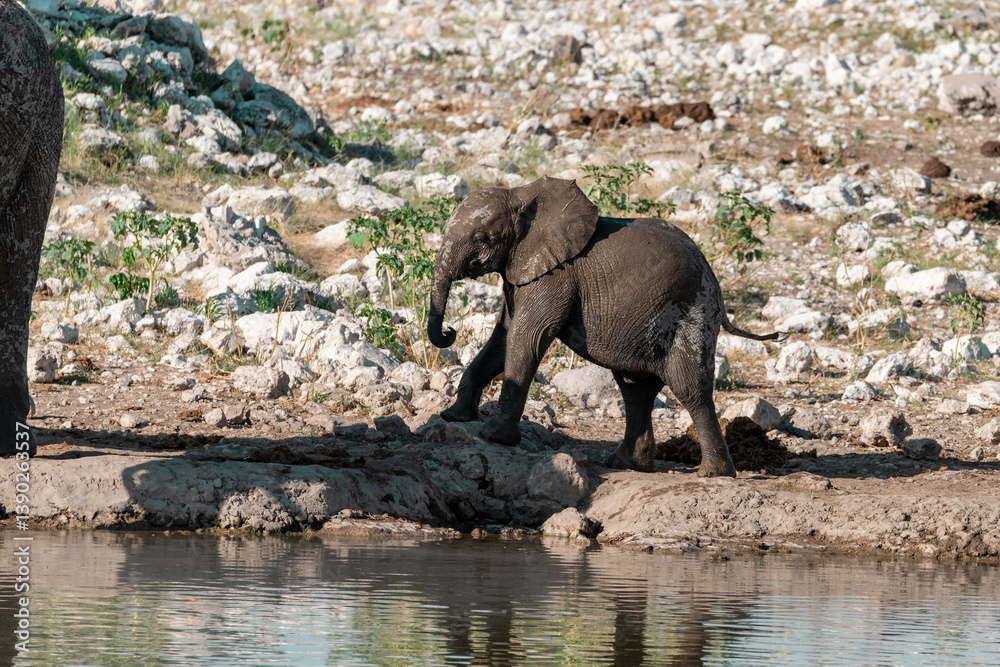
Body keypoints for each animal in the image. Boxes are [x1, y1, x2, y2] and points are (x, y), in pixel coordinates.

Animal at [427, 176, 778, 478]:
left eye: (481, 239)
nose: (449, 333)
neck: (522, 193)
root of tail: (715, 282)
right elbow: (502, 340)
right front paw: (454, 417)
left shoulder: (556, 275)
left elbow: (527, 338)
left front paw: (494, 437)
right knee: (636, 388)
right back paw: (627, 464)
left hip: (693, 311)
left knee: (688, 387)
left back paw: (713, 473)